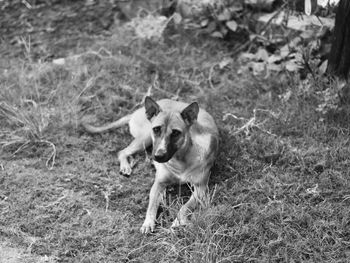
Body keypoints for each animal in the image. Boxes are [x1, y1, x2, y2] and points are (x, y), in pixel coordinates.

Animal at [82, 98, 219, 234]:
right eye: (156, 129)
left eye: (175, 133)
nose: (158, 156)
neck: (180, 160)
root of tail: (137, 111)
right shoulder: (158, 183)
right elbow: (152, 205)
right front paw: (148, 222)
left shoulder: (200, 188)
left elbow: (185, 207)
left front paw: (179, 222)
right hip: (145, 137)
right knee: (122, 152)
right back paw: (126, 166)